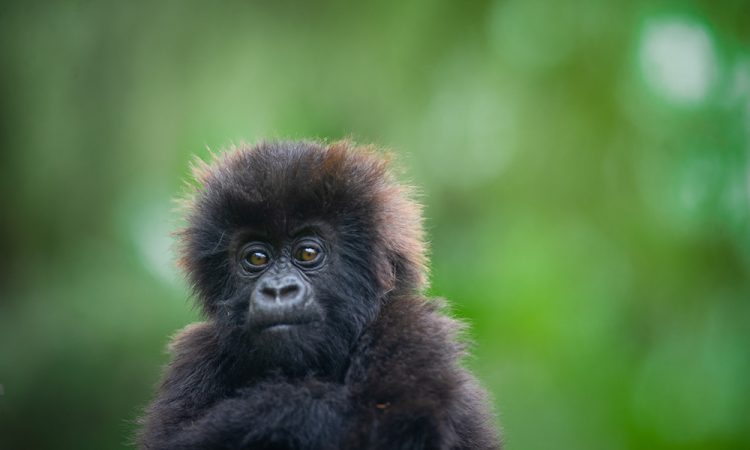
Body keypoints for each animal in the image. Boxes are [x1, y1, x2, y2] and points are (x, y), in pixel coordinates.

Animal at [137, 140, 501, 450]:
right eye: (257, 258)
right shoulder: (196, 355)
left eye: (307, 253)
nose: (278, 290)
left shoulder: (410, 329)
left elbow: (391, 421)